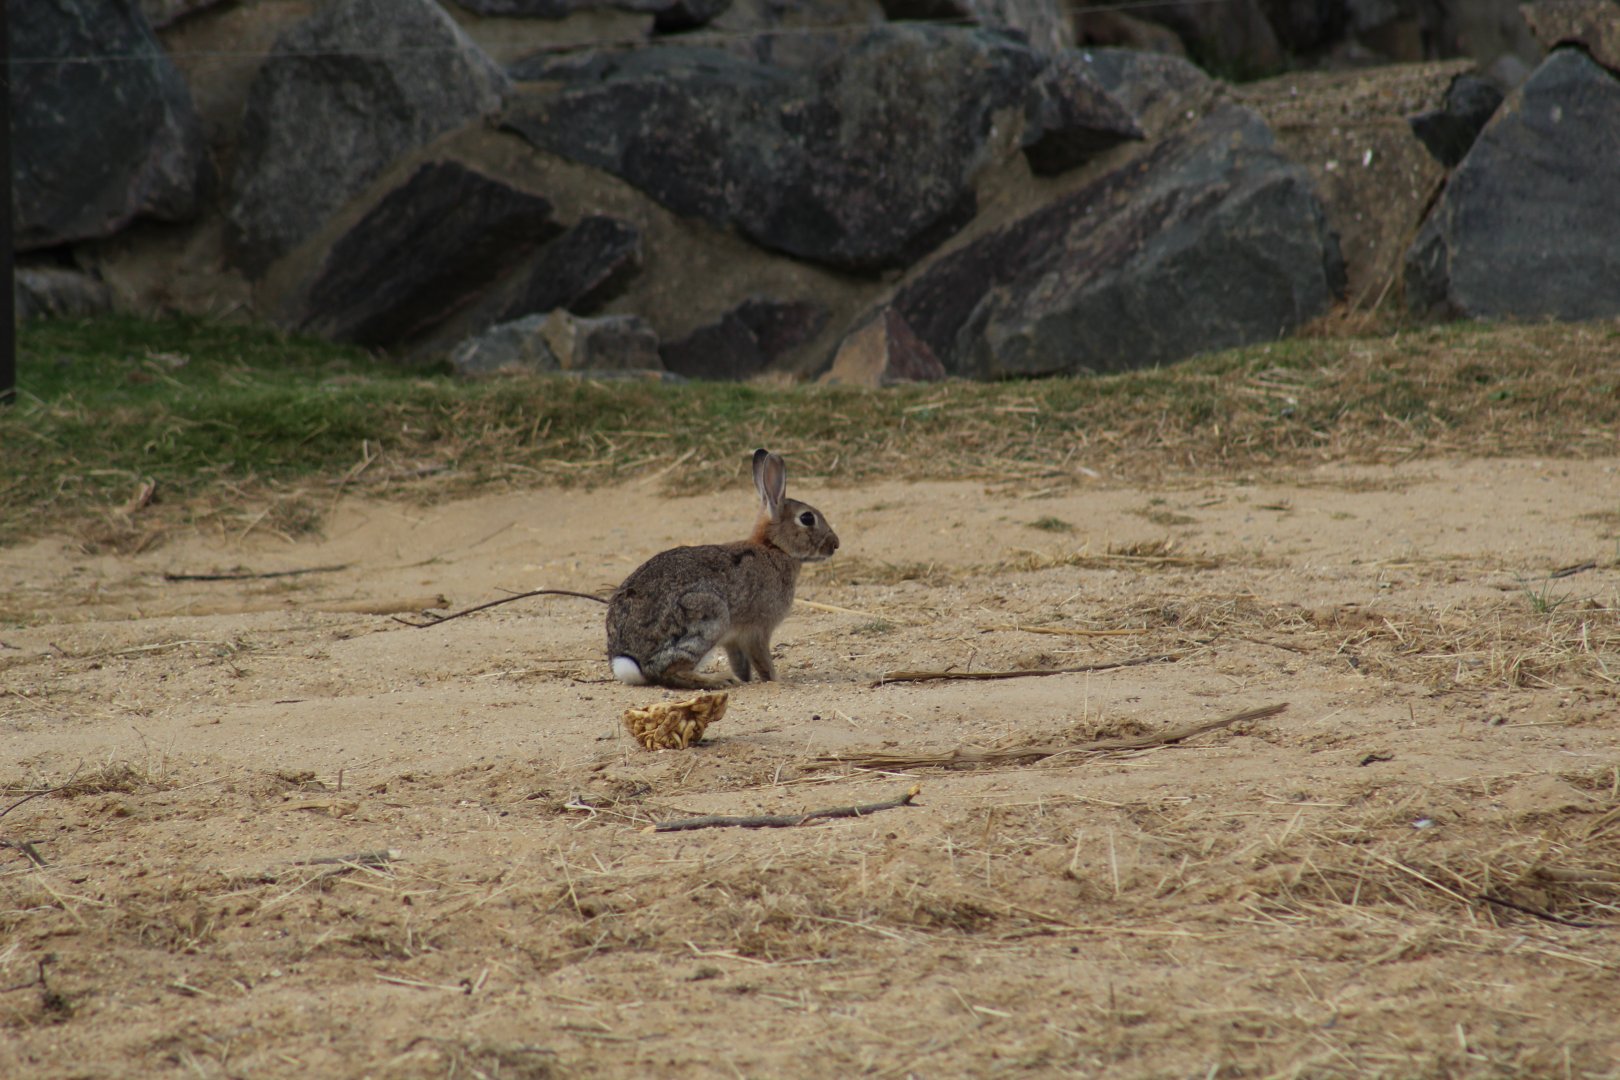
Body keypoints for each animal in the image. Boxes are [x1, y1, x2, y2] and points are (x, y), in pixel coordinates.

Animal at [606, 448, 839, 689]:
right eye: (807, 518)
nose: (835, 544)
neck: (774, 547)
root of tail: (630, 658)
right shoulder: (757, 631)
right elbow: (763, 661)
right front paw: (776, 680)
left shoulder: (733, 640)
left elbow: (741, 664)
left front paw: (746, 679)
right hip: (708, 616)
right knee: (670, 672)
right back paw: (719, 680)